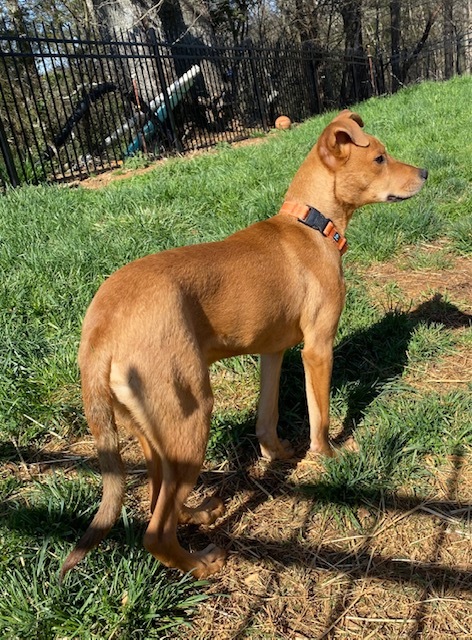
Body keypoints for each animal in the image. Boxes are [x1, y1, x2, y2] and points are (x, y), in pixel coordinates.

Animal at [60, 110, 428, 580]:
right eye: (380, 158)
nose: (425, 173)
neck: (310, 225)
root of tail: (99, 329)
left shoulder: (273, 351)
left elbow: (267, 416)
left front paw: (279, 453)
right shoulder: (317, 348)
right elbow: (321, 415)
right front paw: (328, 456)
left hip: (153, 429)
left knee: (159, 497)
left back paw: (197, 514)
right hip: (191, 416)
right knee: (155, 531)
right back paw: (201, 563)